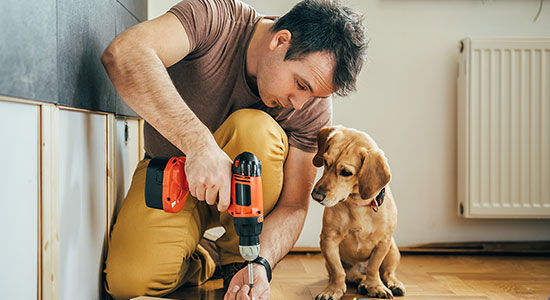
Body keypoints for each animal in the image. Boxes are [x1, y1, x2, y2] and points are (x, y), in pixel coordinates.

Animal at [312, 125, 408, 298]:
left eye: (346, 172)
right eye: (325, 162)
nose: (316, 195)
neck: (357, 205)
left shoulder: (383, 242)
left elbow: (373, 268)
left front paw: (375, 286)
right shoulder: (328, 240)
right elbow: (338, 271)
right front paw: (333, 289)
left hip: (393, 250)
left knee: (388, 272)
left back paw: (393, 284)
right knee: (352, 275)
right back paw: (362, 283)